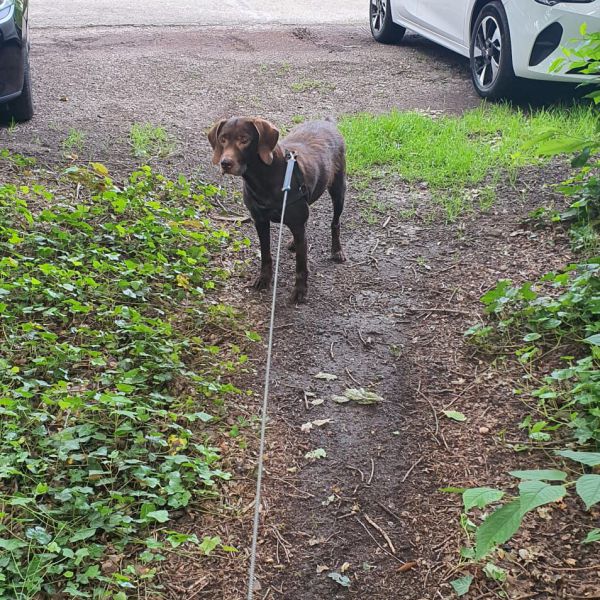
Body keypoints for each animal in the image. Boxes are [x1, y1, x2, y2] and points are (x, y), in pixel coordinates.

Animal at [207, 117, 344, 304]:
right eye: (222, 139)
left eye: (244, 139)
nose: (225, 163)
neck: (262, 178)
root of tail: (327, 121)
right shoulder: (260, 221)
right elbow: (266, 254)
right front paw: (264, 279)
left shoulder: (296, 224)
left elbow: (301, 264)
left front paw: (300, 290)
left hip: (338, 190)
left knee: (335, 222)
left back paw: (336, 250)